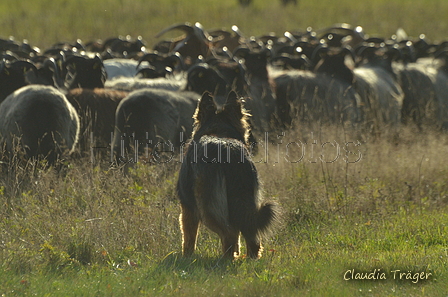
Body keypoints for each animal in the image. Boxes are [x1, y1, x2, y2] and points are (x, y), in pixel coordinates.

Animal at [177, 91, 278, 258]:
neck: (218, 132)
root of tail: (229, 151)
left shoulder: (188, 209)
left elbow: (189, 237)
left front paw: (186, 257)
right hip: (245, 201)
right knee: (250, 234)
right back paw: (249, 258)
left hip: (208, 208)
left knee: (228, 234)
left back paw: (226, 259)